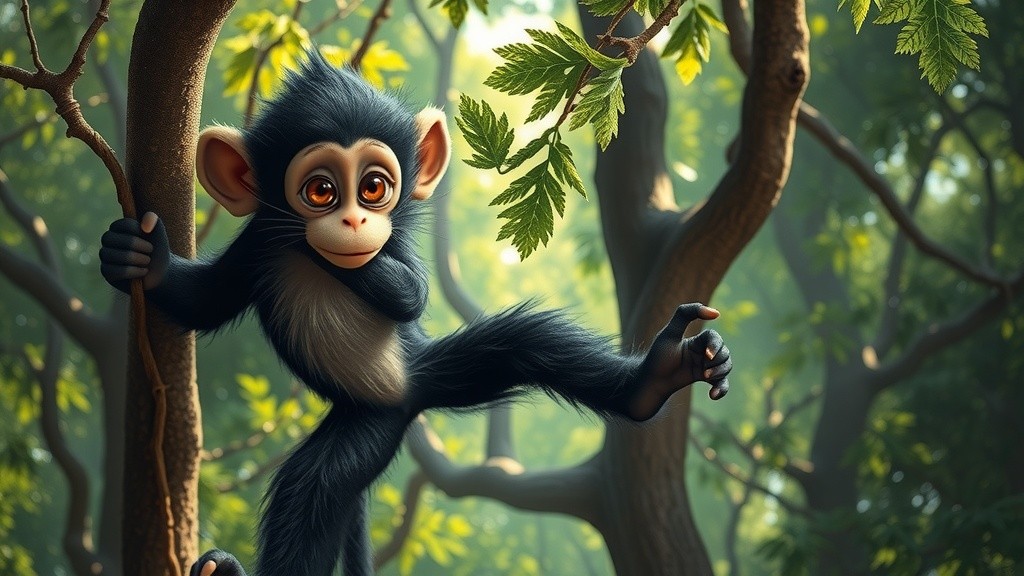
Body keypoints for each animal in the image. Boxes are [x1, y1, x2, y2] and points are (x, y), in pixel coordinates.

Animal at [99, 50, 732, 576]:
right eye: (321, 191)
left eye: (374, 188)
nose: (352, 222)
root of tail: (408, 396)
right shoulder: (257, 247)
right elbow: (206, 301)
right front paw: (141, 259)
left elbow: (410, 292)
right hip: (367, 424)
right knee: (317, 492)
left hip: (403, 398)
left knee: (521, 347)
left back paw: (657, 378)